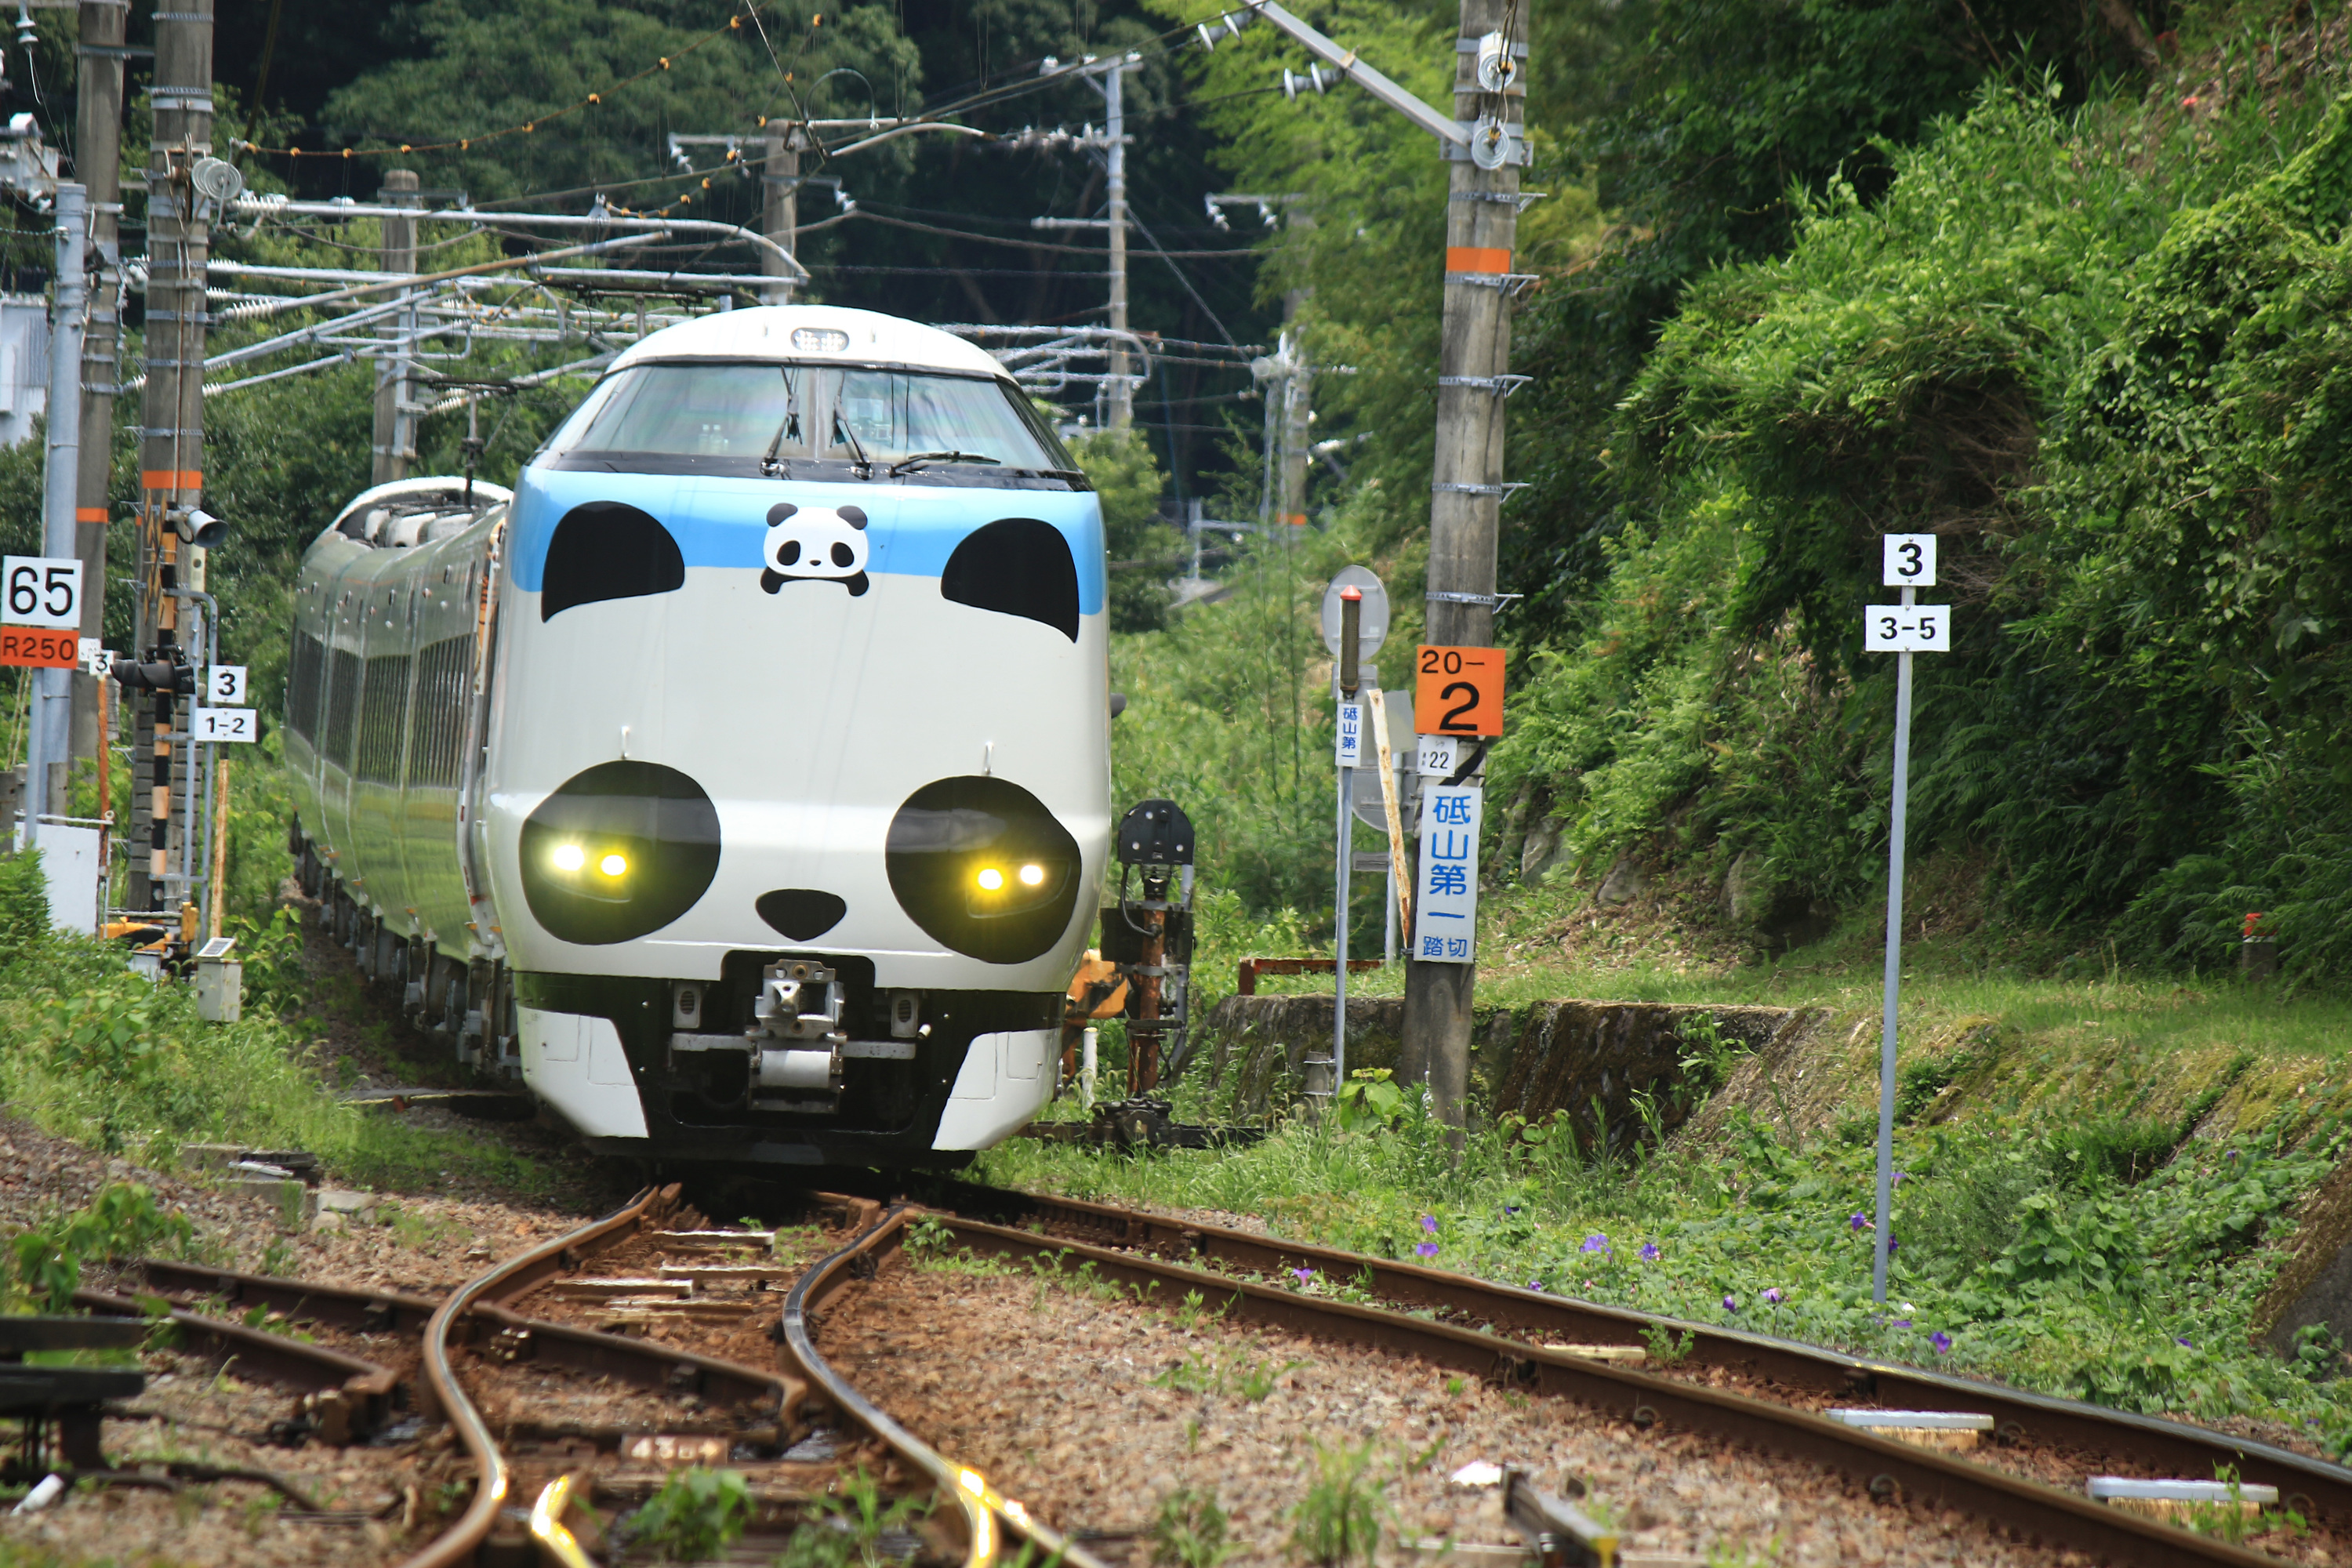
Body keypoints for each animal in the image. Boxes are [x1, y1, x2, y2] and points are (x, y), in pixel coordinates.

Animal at [762, 502, 869, 596]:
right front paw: (770, 586)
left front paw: (858, 589)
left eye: (838, 549)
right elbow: (771, 579)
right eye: (792, 548)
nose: (815, 562)